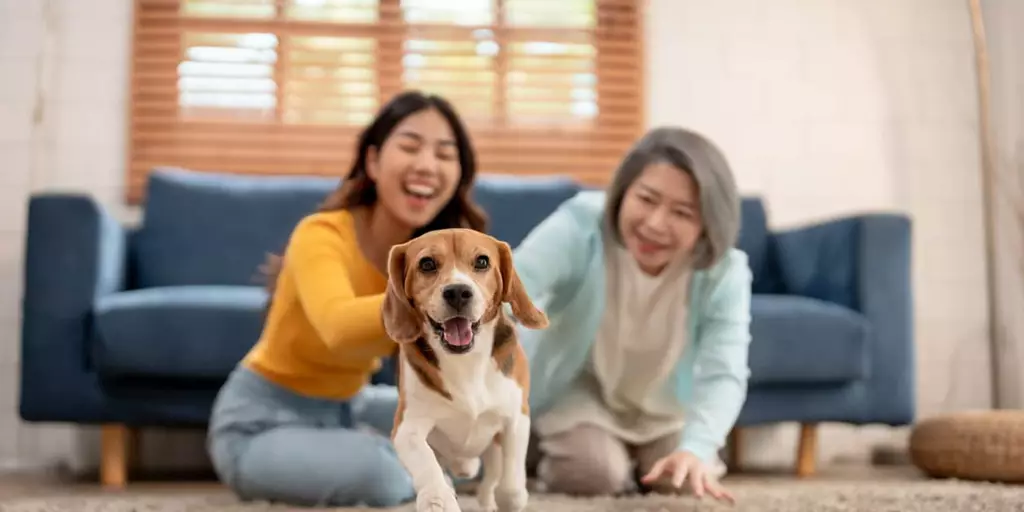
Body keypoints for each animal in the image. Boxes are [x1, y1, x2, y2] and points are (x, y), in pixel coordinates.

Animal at [380, 229, 548, 512]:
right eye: (427, 264)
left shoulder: (516, 418)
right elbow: (426, 463)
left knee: (491, 479)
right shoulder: (407, 427)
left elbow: (511, 485)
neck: (465, 362)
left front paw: (510, 498)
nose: (458, 292)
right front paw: (437, 498)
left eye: (482, 261)